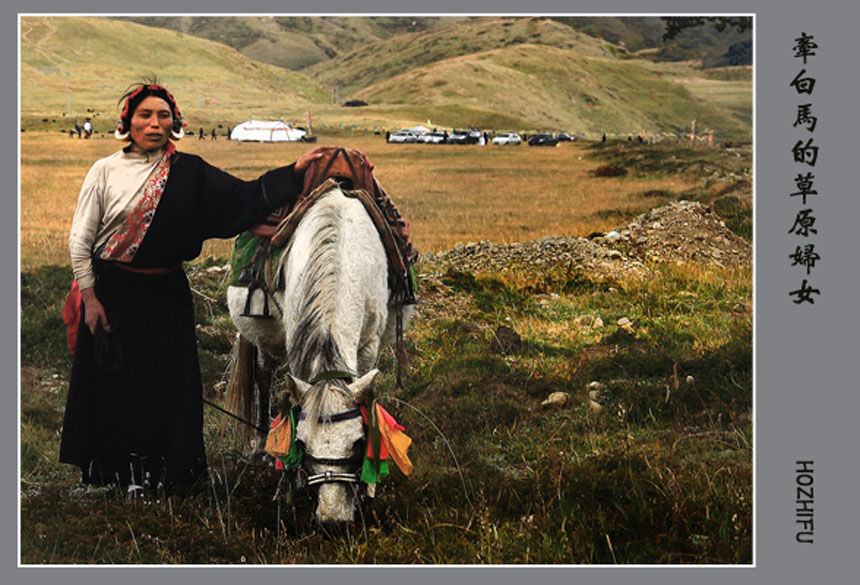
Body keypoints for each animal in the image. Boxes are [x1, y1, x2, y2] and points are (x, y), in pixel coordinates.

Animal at [225, 182, 414, 524]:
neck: (340, 258)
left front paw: (368, 488)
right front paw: (290, 482)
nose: (332, 518)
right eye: (301, 441)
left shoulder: (368, 344)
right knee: (262, 374)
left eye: (358, 441)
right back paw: (260, 444)